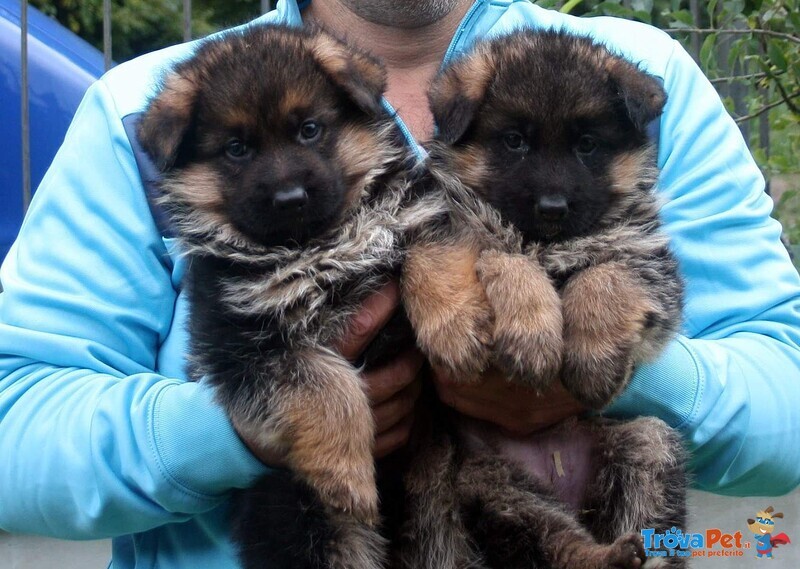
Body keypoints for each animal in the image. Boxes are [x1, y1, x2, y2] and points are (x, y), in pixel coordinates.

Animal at [138, 24, 438, 564]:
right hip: (306, 528)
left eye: (310, 130)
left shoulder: (407, 222)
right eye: (236, 149)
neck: (317, 244)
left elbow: (430, 260)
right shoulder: (243, 340)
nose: (290, 198)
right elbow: (324, 383)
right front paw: (347, 474)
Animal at [400, 31, 688, 568]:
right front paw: (520, 332)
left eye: (587, 145)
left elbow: (605, 276)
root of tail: (562, 481)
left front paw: (592, 356)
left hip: (648, 444)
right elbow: (498, 258)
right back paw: (603, 554)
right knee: (554, 543)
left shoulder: (650, 266)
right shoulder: (447, 226)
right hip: (494, 486)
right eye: (515, 141)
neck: (548, 243)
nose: (553, 208)